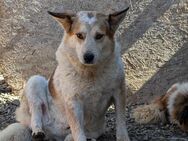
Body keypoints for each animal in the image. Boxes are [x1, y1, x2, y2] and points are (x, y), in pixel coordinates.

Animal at [0, 7, 130, 141]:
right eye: (79, 35)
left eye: (99, 36)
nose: (88, 57)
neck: (90, 72)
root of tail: (52, 133)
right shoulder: (73, 102)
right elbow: (78, 131)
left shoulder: (119, 92)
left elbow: (121, 122)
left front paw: (123, 137)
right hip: (35, 81)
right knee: (36, 112)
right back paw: (38, 131)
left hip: (91, 131)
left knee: (72, 136)